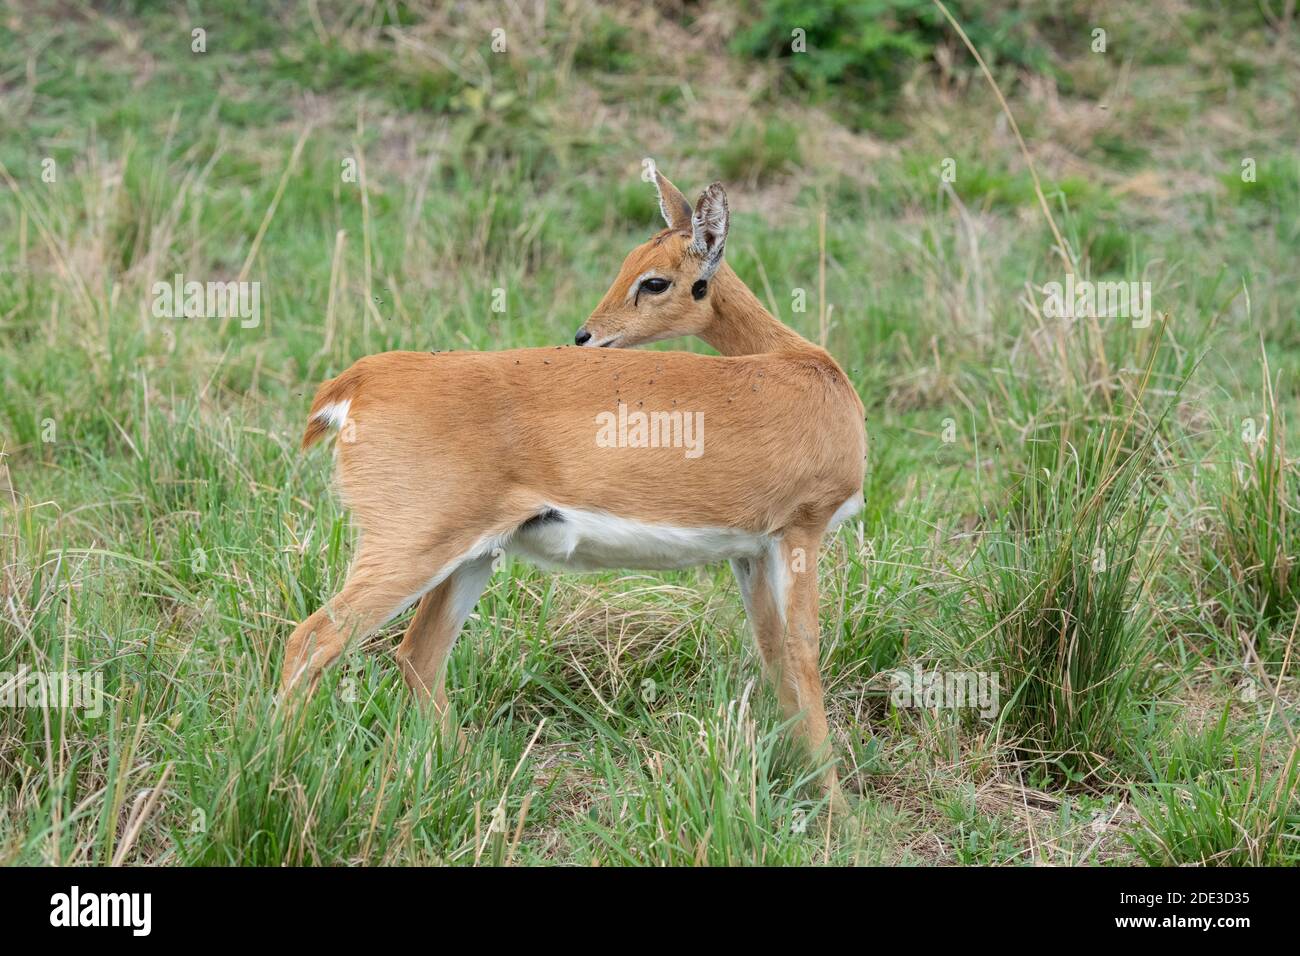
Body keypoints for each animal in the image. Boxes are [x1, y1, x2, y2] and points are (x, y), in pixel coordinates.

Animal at [289, 166, 868, 806]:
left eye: (653, 277)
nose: (586, 335)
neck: (797, 368)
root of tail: (359, 381)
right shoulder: (801, 531)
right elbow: (803, 653)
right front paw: (841, 811)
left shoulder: (752, 550)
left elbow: (773, 654)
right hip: (410, 548)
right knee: (312, 640)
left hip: (471, 556)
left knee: (417, 656)